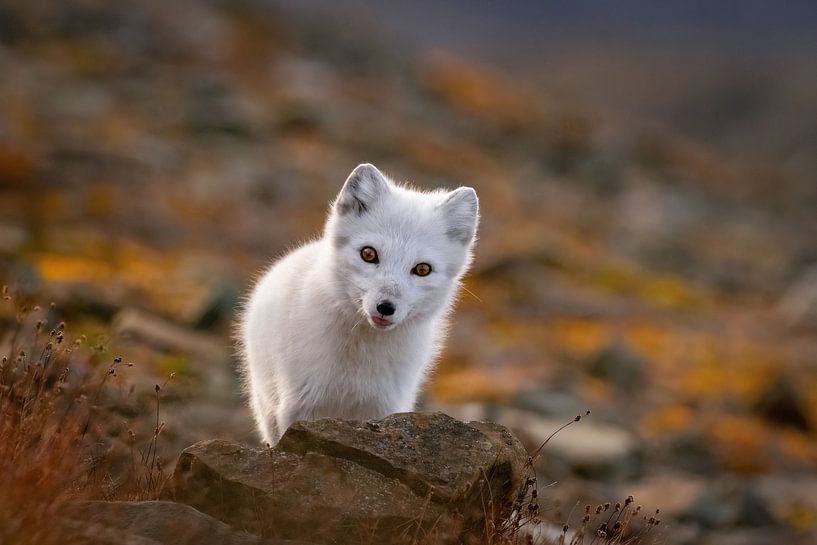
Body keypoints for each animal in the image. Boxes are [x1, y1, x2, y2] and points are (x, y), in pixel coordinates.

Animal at [238, 163, 479, 445]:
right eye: (369, 254)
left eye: (422, 269)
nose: (385, 307)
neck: (358, 364)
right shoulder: (299, 407)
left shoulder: (383, 408)